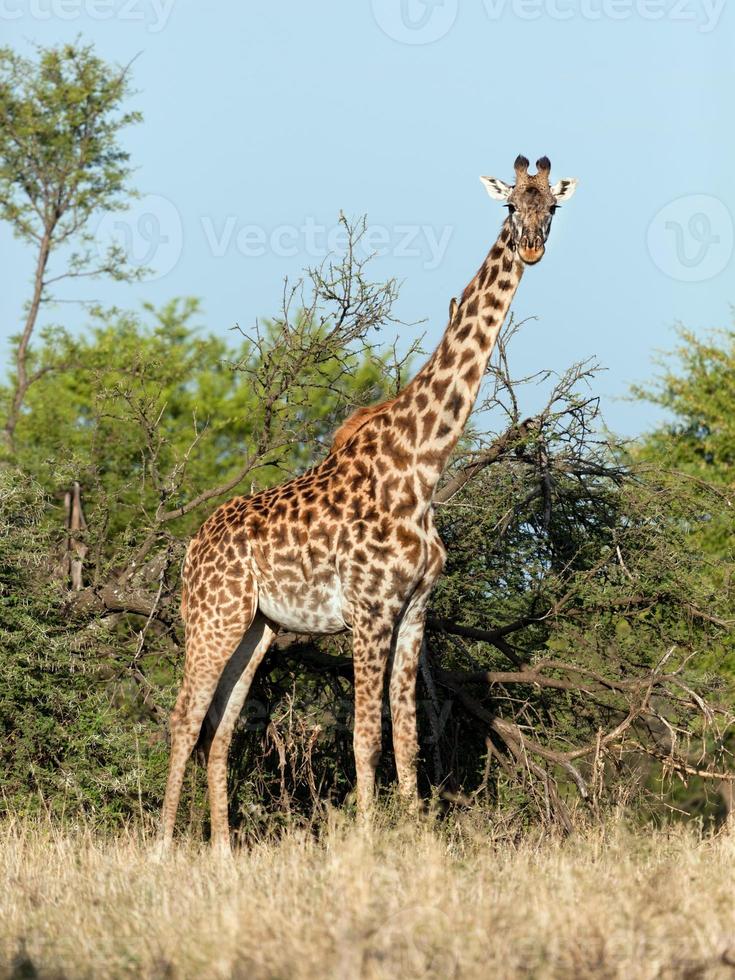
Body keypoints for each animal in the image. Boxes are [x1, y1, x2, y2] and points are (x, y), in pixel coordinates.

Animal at [158, 153, 576, 848]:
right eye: (511, 204)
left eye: (555, 206)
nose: (534, 248)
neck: (422, 466)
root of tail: (192, 545)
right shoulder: (369, 611)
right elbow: (365, 736)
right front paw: (368, 842)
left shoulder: (413, 612)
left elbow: (407, 737)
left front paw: (415, 841)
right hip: (212, 616)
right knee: (185, 717)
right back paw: (164, 846)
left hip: (257, 627)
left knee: (221, 727)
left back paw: (223, 851)